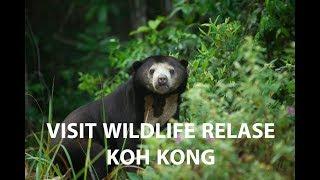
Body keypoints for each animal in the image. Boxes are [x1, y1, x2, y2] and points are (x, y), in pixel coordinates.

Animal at [51, 55, 189, 179]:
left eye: (171, 70)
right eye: (151, 70)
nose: (162, 80)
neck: (157, 98)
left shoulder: (170, 112)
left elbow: (168, 139)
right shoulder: (129, 111)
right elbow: (129, 145)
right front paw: (134, 173)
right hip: (76, 144)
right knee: (98, 157)